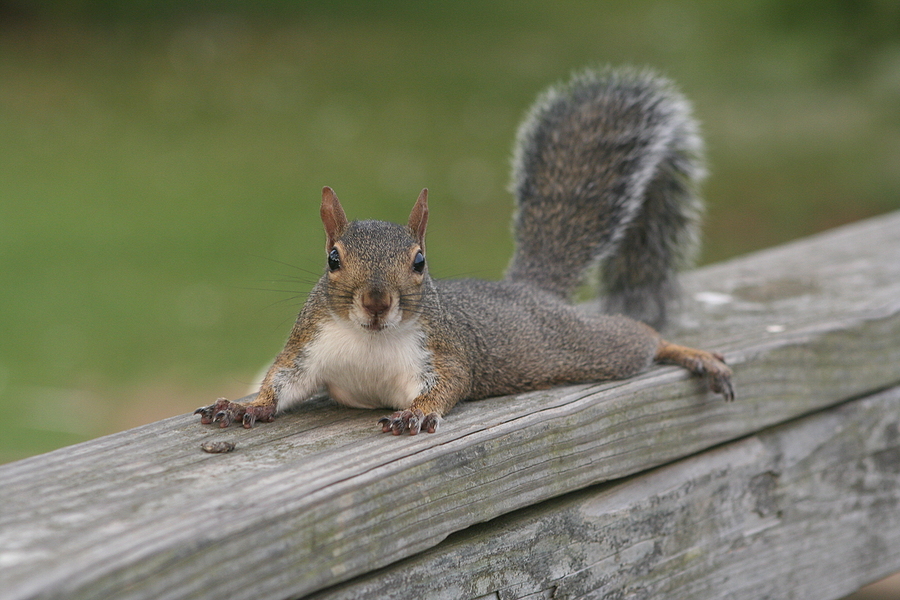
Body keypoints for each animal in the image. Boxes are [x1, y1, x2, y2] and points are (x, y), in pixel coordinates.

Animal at [195, 67, 734, 436]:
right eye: (333, 259)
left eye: (419, 261)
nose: (376, 303)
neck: (369, 339)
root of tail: (527, 290)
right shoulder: (308, 347)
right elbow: (281, 382)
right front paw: (242, 406)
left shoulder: (443, 352)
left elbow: (450, 384)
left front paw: (415, 414)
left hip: (588, 346)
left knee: (641, 337)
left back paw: (692, 354)